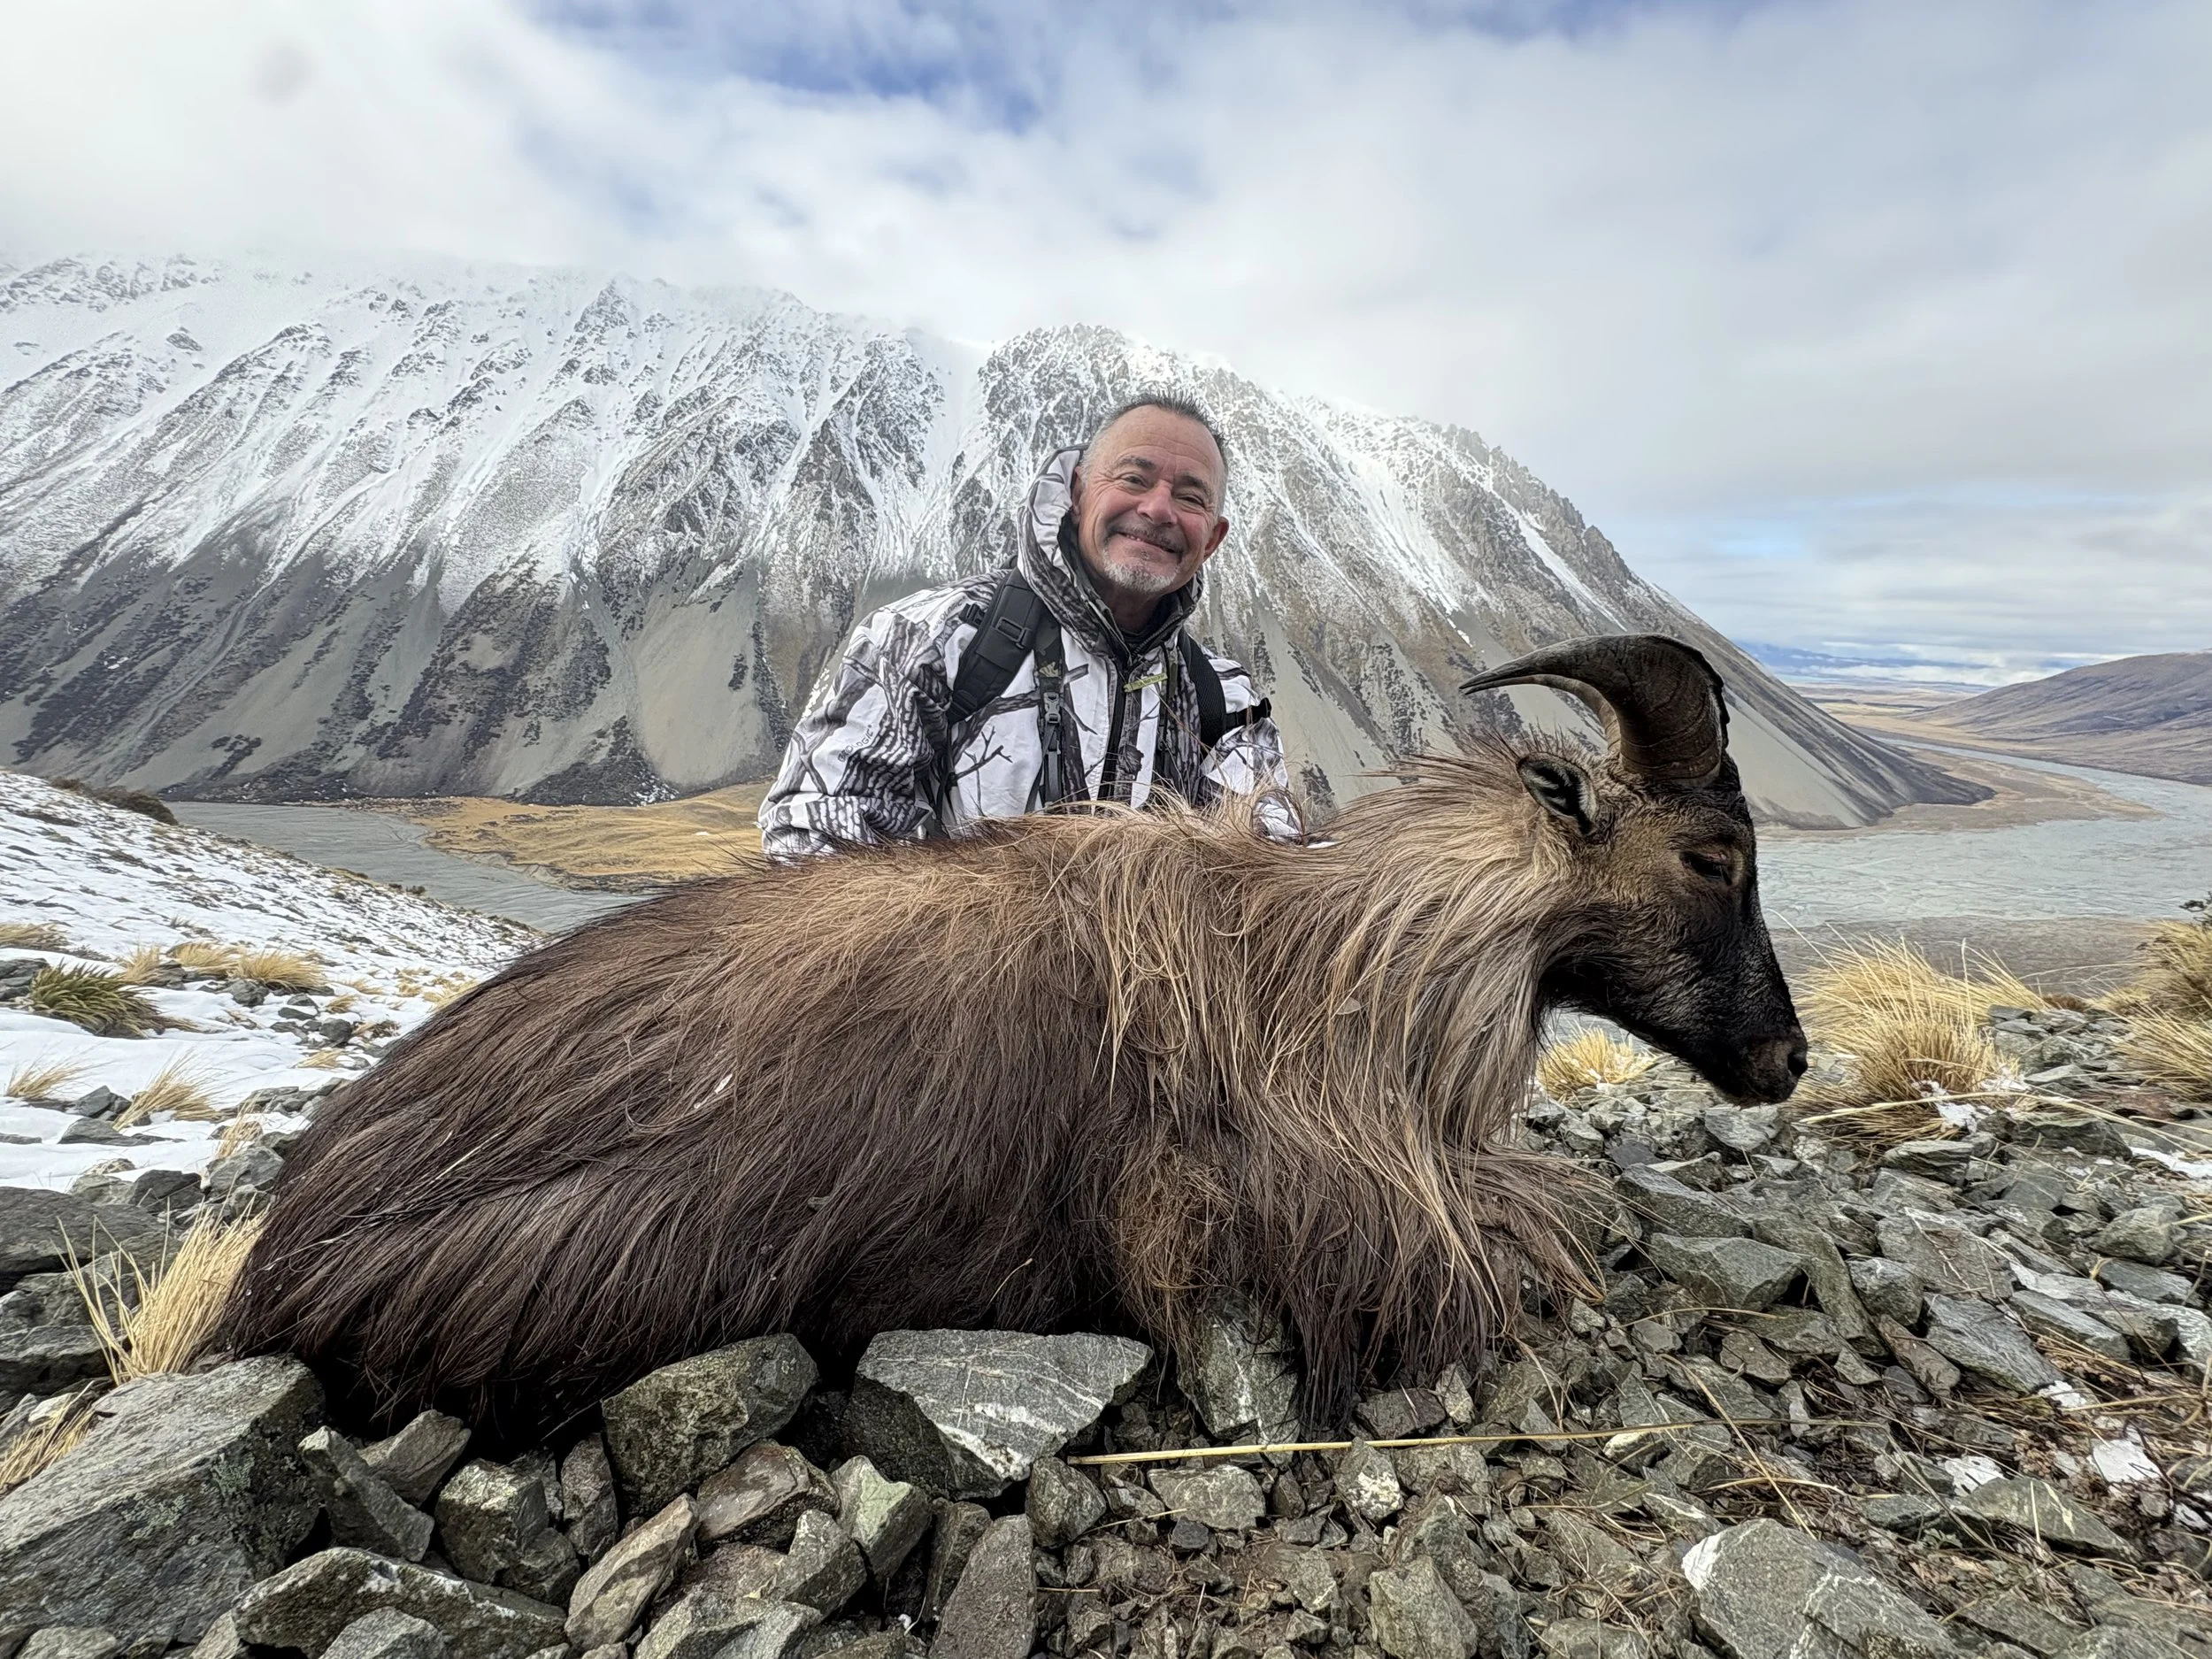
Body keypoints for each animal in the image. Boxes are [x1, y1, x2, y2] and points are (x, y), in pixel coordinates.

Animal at [219, 635, 1806, 1443]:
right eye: (1716, 853)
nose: (1789, 1062)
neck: (1339, 962)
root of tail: (285, 1239)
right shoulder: (1329, 1206)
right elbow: (1546, 1222)